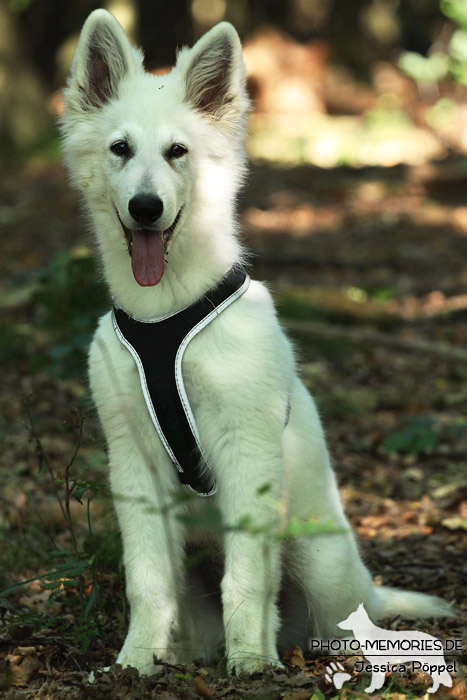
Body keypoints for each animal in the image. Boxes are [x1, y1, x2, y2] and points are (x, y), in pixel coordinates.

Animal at [61, 10, 454, 676]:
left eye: (178, 152)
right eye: (120, 149)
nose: (146, 208)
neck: (166, 315)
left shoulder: (247, 451)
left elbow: (245, 577)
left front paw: (250, 662)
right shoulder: (133, 463)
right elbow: (147, 578)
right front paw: (134, 661)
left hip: (319, 563)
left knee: (337, 622)